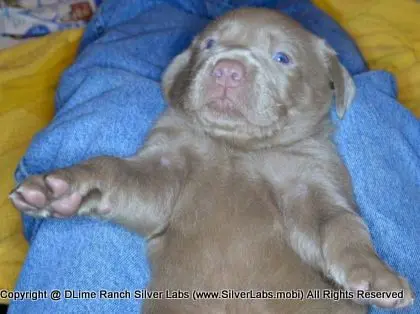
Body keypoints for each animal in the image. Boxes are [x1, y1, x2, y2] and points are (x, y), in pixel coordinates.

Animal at [9, 7, 414, 314]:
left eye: (282, 57)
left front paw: (375, 273)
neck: (236, 149)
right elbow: (117, 173)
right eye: (209, 44)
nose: (227, 69)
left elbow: (340, 224)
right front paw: (60, 189)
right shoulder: (165, 167)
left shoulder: (311, 179)